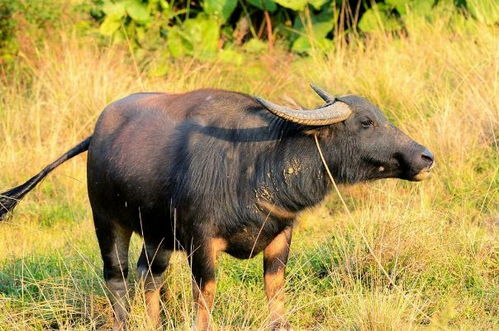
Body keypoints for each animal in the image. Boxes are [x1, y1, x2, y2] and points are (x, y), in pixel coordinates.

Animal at [0, 86, 434, 331]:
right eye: (366, 122)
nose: (425, 157)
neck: (258, 163)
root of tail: (98, 131)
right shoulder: (201, 242)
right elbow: (205, 296)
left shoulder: (280, 237)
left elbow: (275, 293)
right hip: (107, 221)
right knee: (118, 278)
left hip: (157, 237)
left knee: (149, 276)